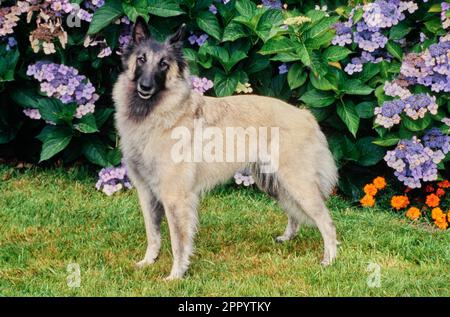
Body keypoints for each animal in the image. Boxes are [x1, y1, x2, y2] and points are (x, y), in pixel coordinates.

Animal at [112, 17, 338, 278]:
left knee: (327, 222)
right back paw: (287, 238)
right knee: (295, 214)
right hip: (277, 184)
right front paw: (148, 261)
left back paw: (330, 260)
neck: (157, 115)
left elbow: (178, 242)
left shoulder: (175, 197)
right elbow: (153, 234)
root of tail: (305, 115)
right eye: (141, 59)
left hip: (298, 184)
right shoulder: (147, 193)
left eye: (163, 64)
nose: (145, 86)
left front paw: (176, 275)